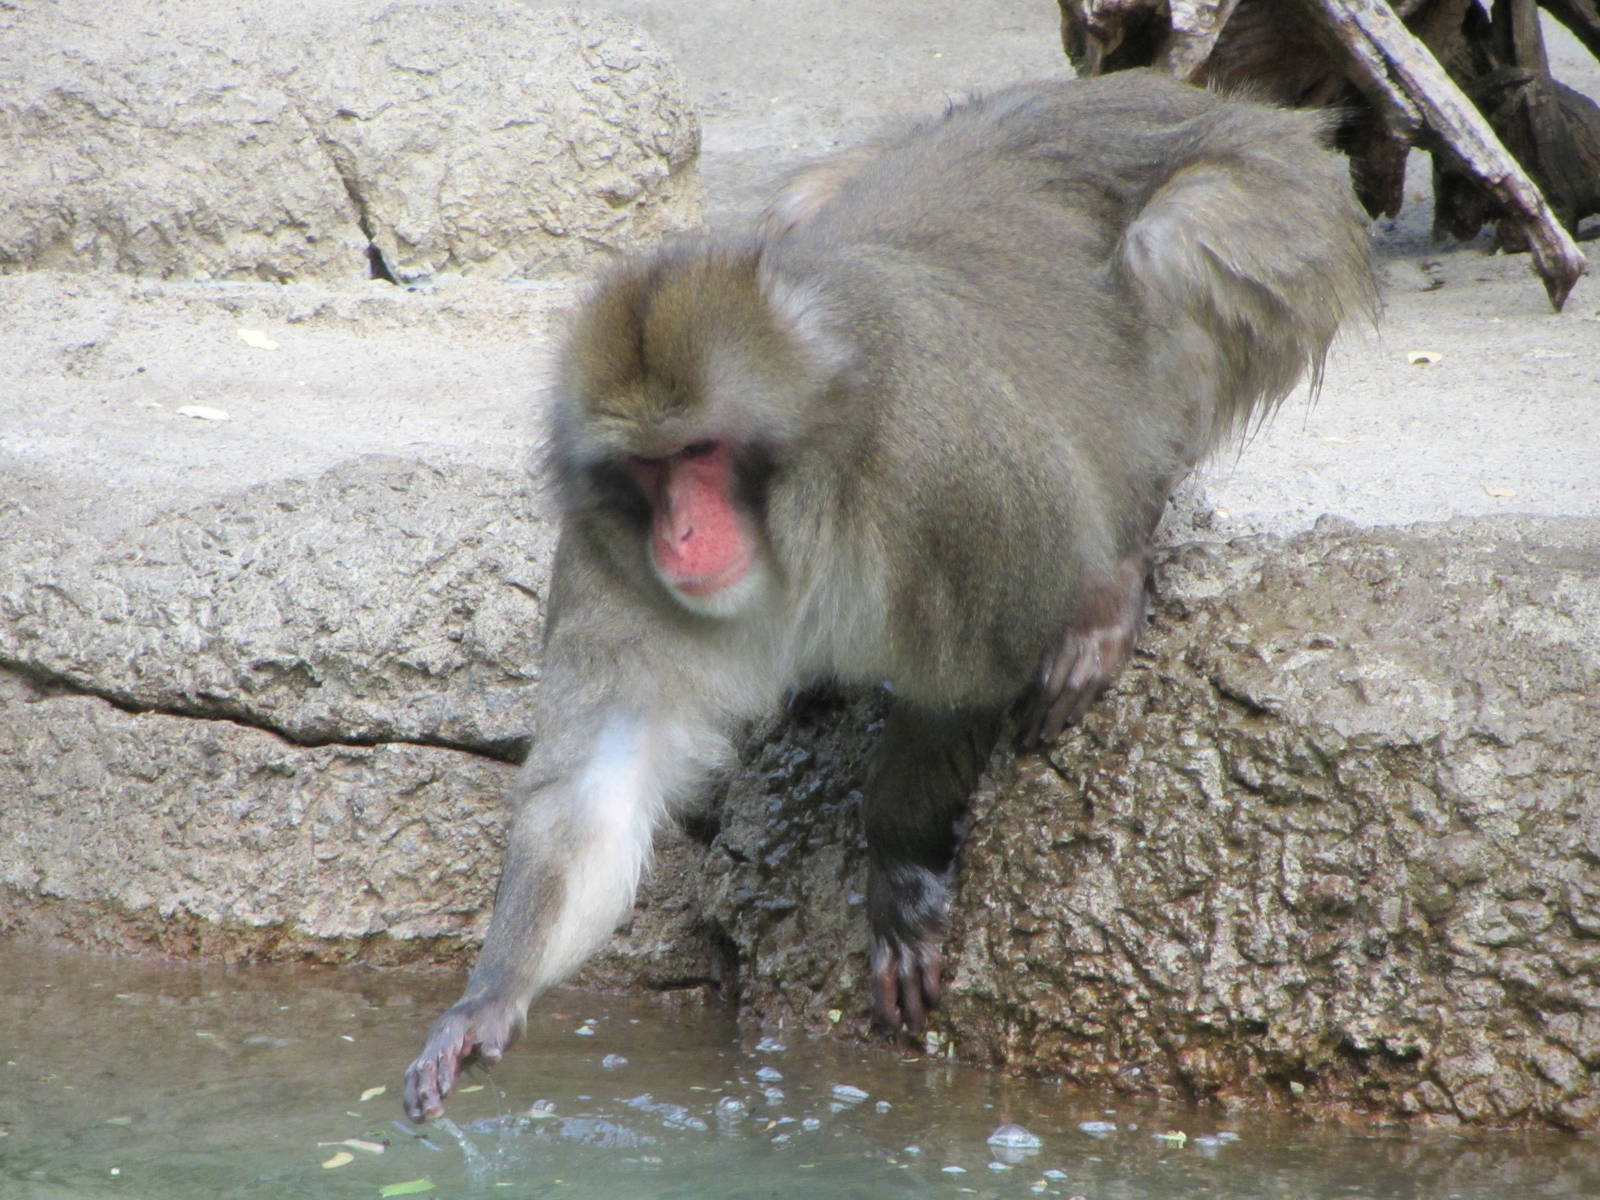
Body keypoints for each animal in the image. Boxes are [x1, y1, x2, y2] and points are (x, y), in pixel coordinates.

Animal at [402, 69, 1375, 1121]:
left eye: (700, 453)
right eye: (648, 470)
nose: (681, 537)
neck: (804, 513)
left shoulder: (947, 481)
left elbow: (971, 669)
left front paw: (901, 862)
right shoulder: (607, 558)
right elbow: (600, 786)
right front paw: (487, 1003)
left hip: (1288, 205)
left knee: (1171, 247)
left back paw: (1114, 565)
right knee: (797, 207)